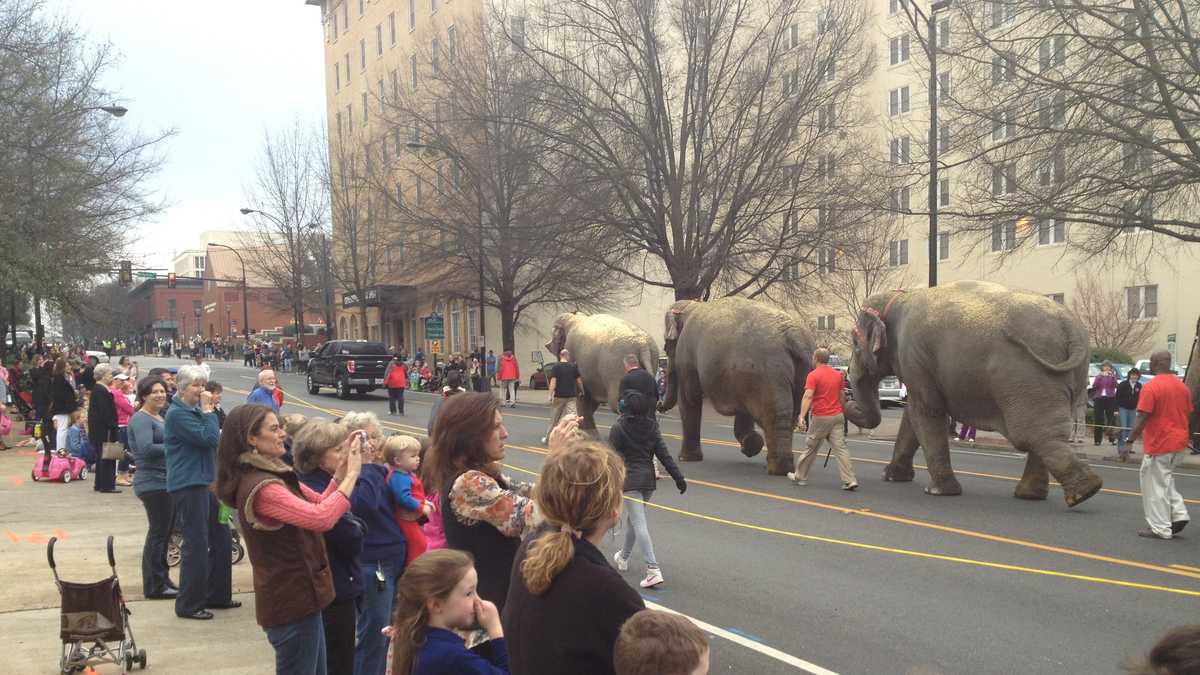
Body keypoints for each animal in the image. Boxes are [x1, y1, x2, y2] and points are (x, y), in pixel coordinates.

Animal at [657, 294, 816, 473]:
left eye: (667, 345)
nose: (658, 404)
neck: (691, 305)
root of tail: (794, 337)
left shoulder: (686, 358)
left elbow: (689, 399)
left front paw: (685, 458)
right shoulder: (741, 381)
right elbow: (742, 410)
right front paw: (751, 444)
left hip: (768, 373)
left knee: (775, 416)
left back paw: (777, 469)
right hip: (800, 373)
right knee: (791, 416)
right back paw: (784, 467)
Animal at [844, 278, 1104, 504]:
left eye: (855, 343)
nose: (847, 400)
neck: (899, 298)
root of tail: (1070, 327)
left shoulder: (913, 355)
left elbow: (925, 412)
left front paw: (938, 491)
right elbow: (912, 416)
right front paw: (892, 477)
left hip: (1026, 375)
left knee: (1033, 433)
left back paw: (1084, 492)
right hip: (1068, 378)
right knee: (1047, 432)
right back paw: (1037, 495)